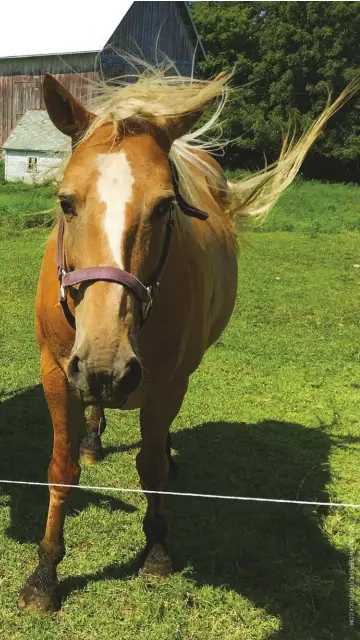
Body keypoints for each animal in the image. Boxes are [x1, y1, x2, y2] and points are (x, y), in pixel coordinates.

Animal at [17, 65, 360, 608]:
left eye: (164, 207)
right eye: (65, 202)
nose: (106, 365)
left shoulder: (165, 383)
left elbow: (151, 467)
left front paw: (156, 551)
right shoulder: (56, 372)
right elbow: (61, 470)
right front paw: (45, 574)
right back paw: (94, 434)